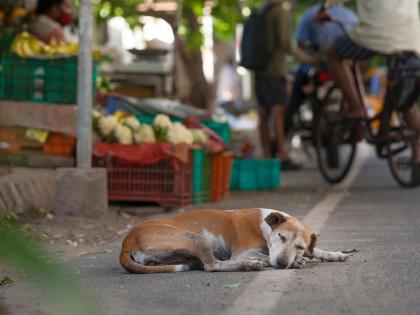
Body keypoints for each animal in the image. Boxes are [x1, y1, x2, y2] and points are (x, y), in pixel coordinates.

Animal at [120, 207, 350, 274]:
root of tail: (127, 240)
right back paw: (250, 264)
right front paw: (295, 261)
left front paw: (334, 254)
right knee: (212, 265)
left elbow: (315, 250)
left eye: (300, 246)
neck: (264, 226)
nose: (281, 263)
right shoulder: (243, 251)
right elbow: (259, 254)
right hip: (196, 238)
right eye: (281, 237)